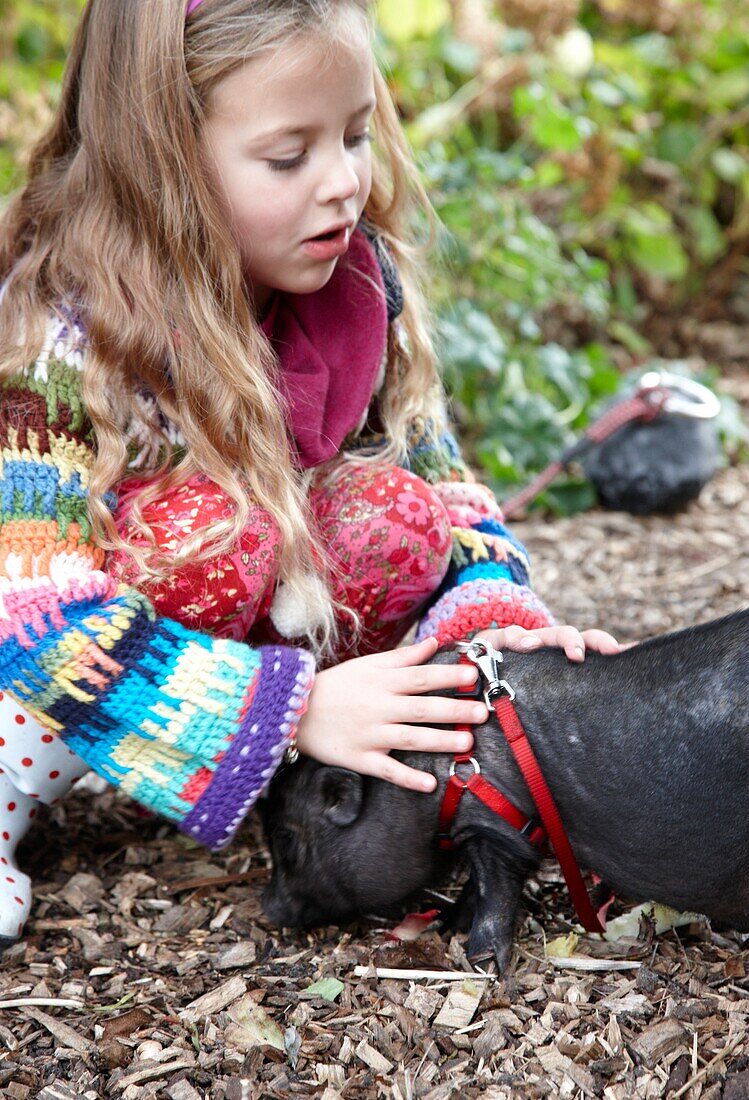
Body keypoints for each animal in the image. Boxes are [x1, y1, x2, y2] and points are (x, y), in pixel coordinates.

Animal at [262, 611, 747, 972]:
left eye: (287, 840)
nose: (267, 908)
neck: (443, 766)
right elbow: (475, 886)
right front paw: (448, 924)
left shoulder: (497, 829)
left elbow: (494, 889)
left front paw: (479, 959)